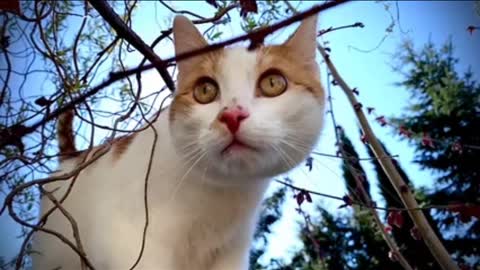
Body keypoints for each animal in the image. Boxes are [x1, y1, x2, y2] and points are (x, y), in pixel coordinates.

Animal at [31, 14, 326, 270]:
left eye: (273, 83)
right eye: (205, 90)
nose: (232, 115)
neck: (220, 198)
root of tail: (72, 157)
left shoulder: (229, 254)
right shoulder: (130, 243)